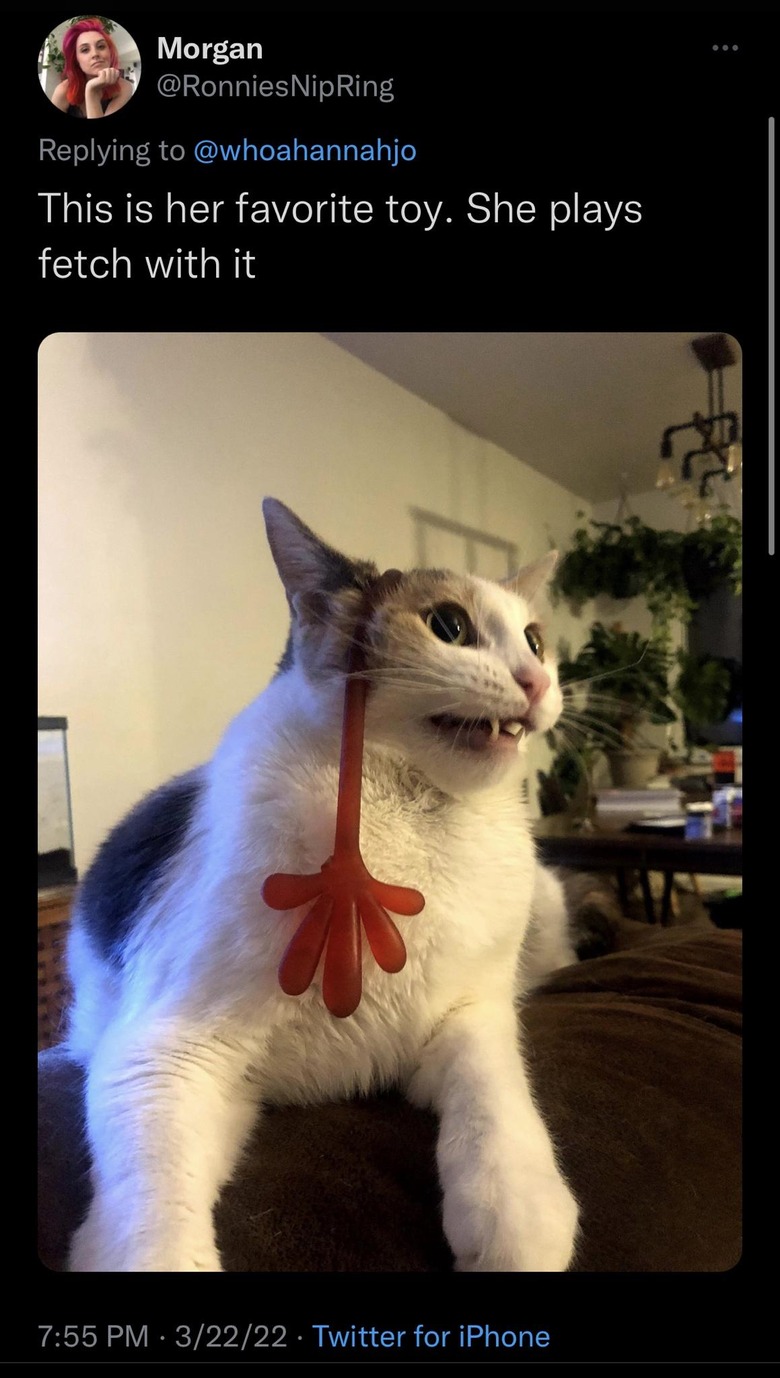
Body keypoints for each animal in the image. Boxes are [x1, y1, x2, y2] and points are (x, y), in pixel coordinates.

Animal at [65, 498, 581, 1267]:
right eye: (449, 626)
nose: (538, 681)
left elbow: (494, 1091)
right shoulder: (164, 1054)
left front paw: (518, 1211)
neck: (407, 820)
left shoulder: (471, 1012)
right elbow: (154, 1217)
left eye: (536, 641)